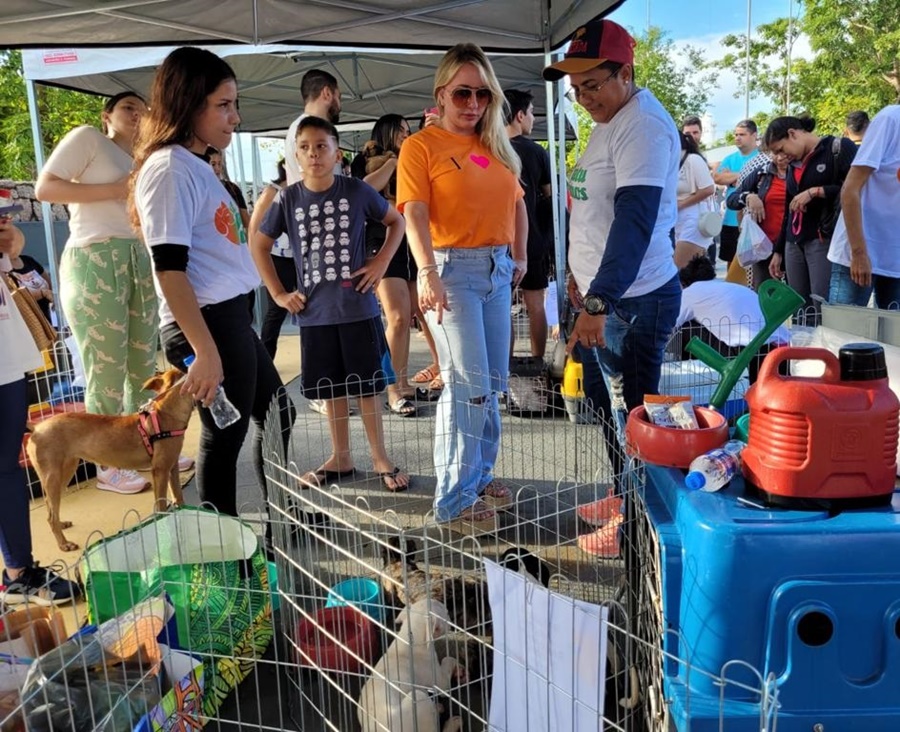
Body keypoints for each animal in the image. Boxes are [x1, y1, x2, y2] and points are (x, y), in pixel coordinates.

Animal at [26, 368, 197, 552]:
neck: (165, 412)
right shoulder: (160, 470)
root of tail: (36, 428)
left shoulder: (172, 467)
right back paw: (64, 543)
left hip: (66, 471)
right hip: (53, 476)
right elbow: (161, 505)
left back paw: (61, 524)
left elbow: (178, 494)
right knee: (51, 516)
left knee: (50, 506)